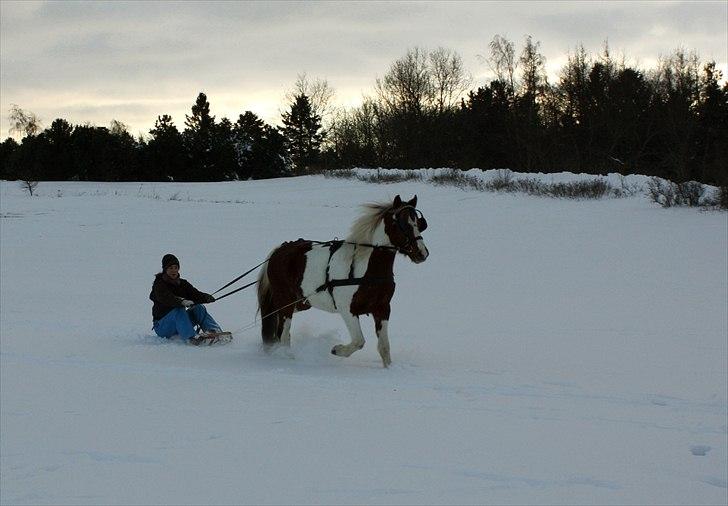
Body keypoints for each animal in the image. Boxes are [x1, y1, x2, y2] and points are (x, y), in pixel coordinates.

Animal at [258, 195, 430, 368]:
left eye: (419, 223)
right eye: (401, 223)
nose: (422, 253)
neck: (366, 268)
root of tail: (279, 250)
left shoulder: (382, 309)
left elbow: (384, 347)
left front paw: (389, 368)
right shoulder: (347, 309)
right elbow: (359, 341)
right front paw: (337, 350)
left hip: (300, 303)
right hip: (285, 302)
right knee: (283, 334)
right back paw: (287, 357)